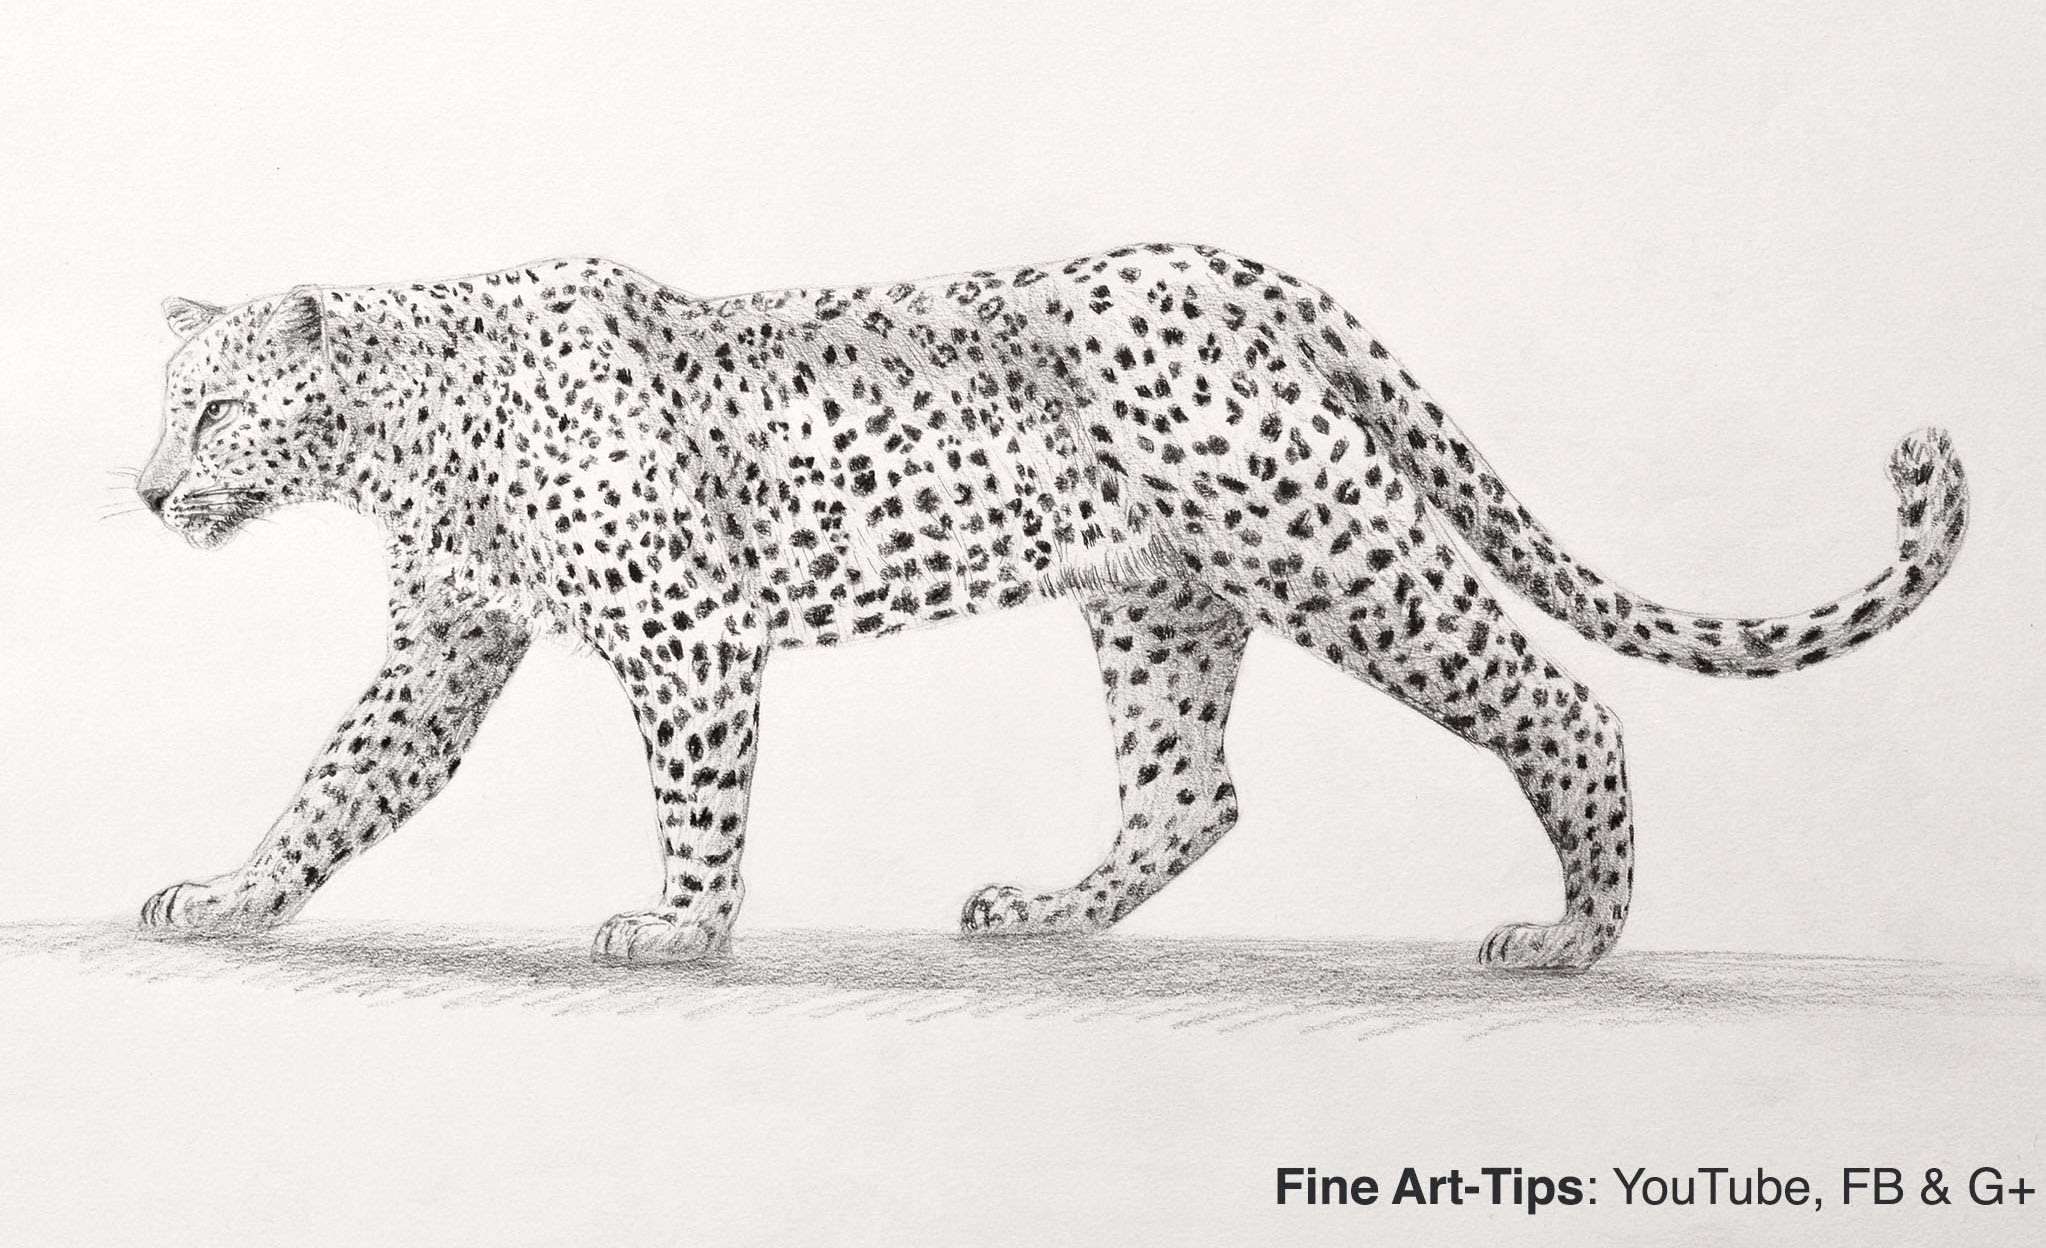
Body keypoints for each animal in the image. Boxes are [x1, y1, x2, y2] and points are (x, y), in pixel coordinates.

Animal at [134, 243, 1969, 970]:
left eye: (210, 413)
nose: (149, 494)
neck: (403, 442)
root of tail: (1247, 271)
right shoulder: (444, 648)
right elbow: (335, 783)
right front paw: (227, 894)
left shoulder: (689, 641)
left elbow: (697, 801)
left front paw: (680, 928)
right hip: (1163, 600)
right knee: (1189, 786)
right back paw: (1053, 911)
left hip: (1327, 546)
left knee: (1561, 701)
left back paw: (1573, 935)